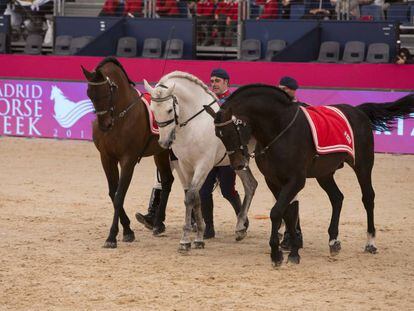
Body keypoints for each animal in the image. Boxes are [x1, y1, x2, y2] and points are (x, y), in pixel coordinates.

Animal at [82, 58, 175, 249]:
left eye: (107, 92)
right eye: (89, 94)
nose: (104, 125)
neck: (121, 116)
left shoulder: (128, 160)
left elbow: (119, 195)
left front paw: (112, 236)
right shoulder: (107, 158)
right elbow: (113, 192)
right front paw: (127, 230)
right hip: (161, 152)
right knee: (167, 180)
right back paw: (158, 224)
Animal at [144, 70, 258, 251]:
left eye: (169, 110)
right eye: (153, 110)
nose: (164, 142)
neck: (195, 124)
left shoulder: (203, 165)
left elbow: (190, 197)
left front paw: (185, 241)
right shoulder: (186, 165)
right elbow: (195, 196)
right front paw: (198, 238)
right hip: (239, 163)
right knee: (250, 185)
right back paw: (240, 228)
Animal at [206, 84, 414, 266]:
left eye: (232, 130)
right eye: (218, 134)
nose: (238, 164)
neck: (280, 129)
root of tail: (357, 111)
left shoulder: (296, 180)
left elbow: (277, 212)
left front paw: (277, 254)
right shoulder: (274, 181)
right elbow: (288, 213)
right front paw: (293, 251)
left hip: (363, 165)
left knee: (368, 198)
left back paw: (370, 242)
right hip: (325, 174)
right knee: (337, 198)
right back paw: (333, 241)